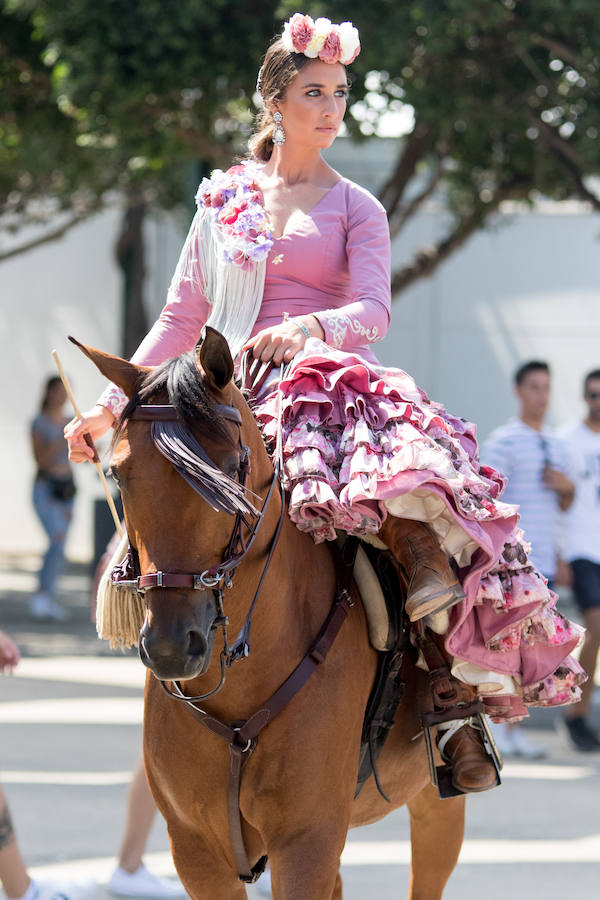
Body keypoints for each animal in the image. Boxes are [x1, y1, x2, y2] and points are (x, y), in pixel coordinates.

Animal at [71, 332, 464, 900]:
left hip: (434, 801)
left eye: (228, 467)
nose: (171, 646)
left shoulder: (307, 842)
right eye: (118, 472)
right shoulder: (196, 850)